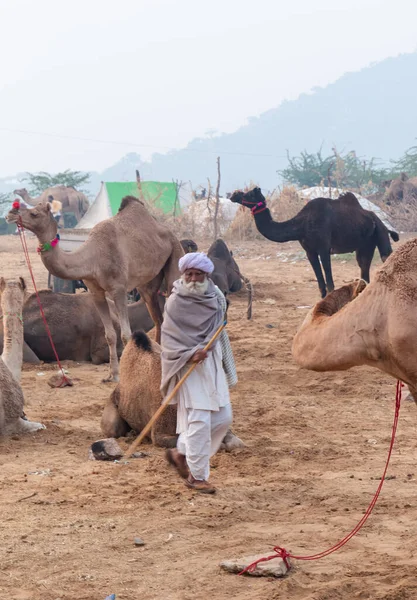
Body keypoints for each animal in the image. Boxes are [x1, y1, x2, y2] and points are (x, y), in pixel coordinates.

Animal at [7, 197, 184, 384]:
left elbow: (126, 335)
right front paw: (112, 375)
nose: (11, 213)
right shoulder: (95, 291)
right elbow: (110, 335)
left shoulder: (118, 289)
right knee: (158, 318)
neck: (93, 258)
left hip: (175, 256)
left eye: (34, 213)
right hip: (147, 284)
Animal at [229, 188, 398, 298]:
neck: (302, 225)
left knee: (385, 259)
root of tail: (380, 221)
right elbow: (321, 285)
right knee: (363, 269)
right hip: (365, 245)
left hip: (381, 234)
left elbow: (330, 284)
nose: (234, 194)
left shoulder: (324, 248)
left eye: (250, 193)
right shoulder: (309, 251)